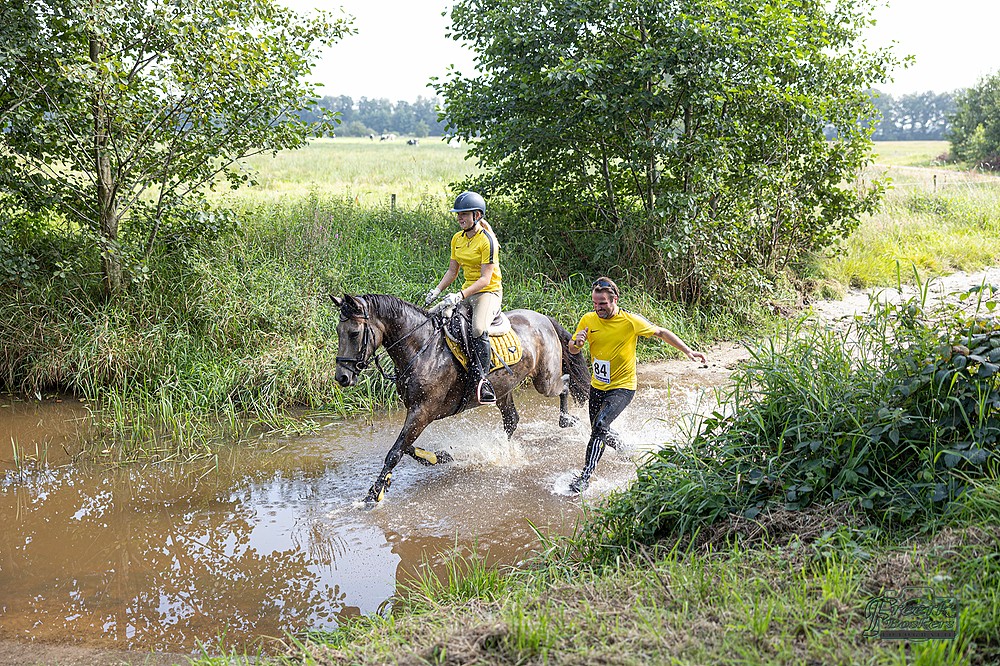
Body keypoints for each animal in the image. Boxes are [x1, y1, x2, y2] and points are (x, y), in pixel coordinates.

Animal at [332, 294, 588, 506]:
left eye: (354, 333)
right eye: (338, 331)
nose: (342, 377)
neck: (421, 349)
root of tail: (543, 318)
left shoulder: (422, 412)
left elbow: (396, 451)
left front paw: (373, 494)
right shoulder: (416, 412)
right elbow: (406, 447)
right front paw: (441, 457)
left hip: (545, 381)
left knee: (565, 383)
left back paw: (567, 419)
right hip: (504, 388)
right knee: (511, 419)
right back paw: (501, 451)